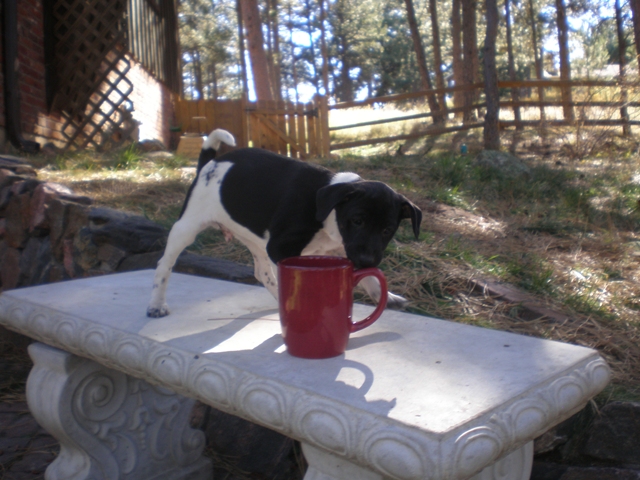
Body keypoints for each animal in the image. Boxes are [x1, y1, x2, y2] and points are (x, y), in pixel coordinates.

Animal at [148, 129, 422, 316]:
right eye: (357, 220)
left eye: (387, 229)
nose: (368, 261)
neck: (326, 212)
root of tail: (208, 164)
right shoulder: (281, 248)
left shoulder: (342, 247)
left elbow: (366, 276)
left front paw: (384, 295)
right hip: (186, 228)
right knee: (163, 265)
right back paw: (157, 305)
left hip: (256, 239)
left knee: (262, 272)